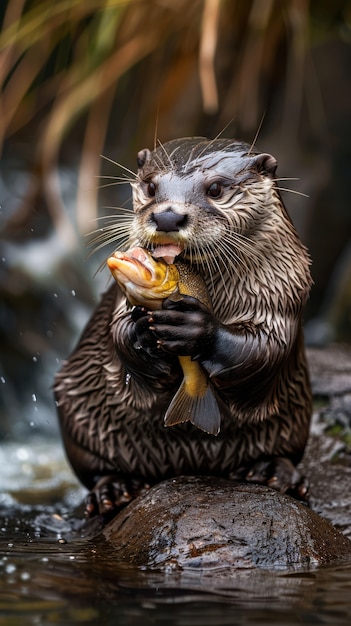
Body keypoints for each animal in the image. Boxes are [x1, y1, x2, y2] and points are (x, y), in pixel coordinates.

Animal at [55, 139, 314, 516]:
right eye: (150, 187)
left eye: (216, 189)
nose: (167, 216)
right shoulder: (119, 300)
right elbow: (117, 332)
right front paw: (142, 335)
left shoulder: (282, 288)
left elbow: (264, 347)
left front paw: (195, 329)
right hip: (78, 414)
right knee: (94, 467)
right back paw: (115, 488)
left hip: (293, 423)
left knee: (284, 453)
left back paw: (271, 471)